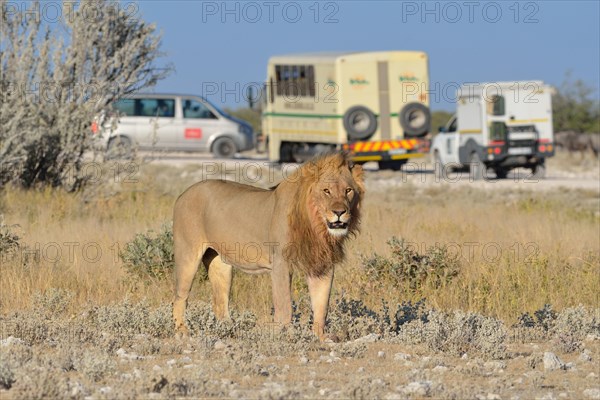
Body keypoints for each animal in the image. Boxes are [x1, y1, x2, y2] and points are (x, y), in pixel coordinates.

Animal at [171, 152, 364, 340]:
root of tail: (184, 193)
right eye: (326, 191)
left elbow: (321, 306)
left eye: (348, 190)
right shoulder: (281, 263)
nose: (339, 212)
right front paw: (284, 337)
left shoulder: (322, 265)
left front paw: (320, 338)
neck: (317, 226)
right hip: (187, 254)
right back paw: (182, 333)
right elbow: (284, 307)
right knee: (180, 297)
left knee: (220, 302)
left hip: (219, 262)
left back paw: (229, 331)